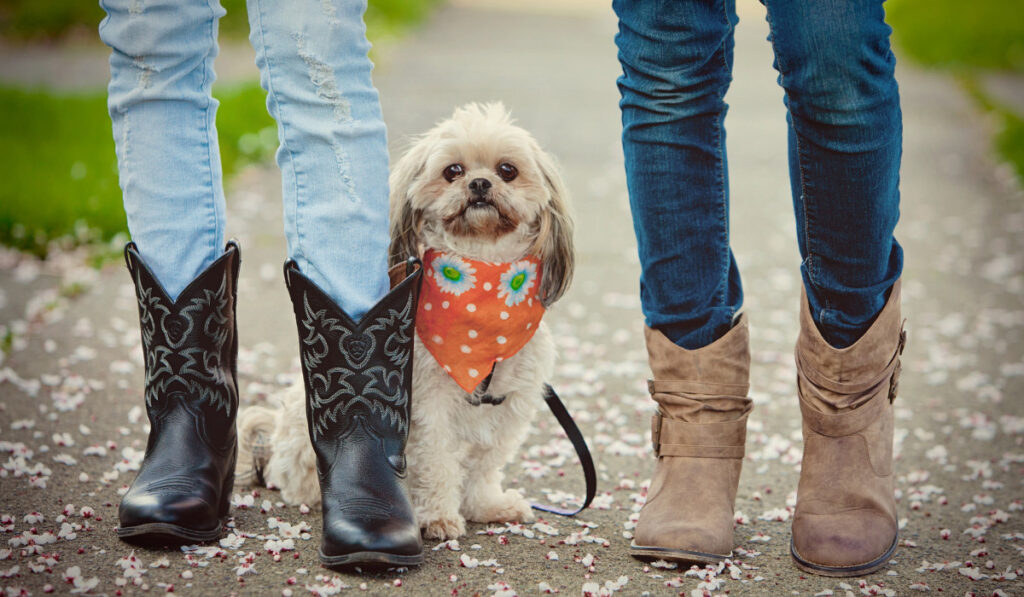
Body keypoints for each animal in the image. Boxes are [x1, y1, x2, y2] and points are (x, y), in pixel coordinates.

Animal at [239, 102, 577, 540]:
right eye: (453, 170)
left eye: (507, 170)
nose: (480, 183)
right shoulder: (428, 406)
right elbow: (438, 462)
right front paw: (438, 517)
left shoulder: (509, 404)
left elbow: (484, 462)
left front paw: (485, 505)